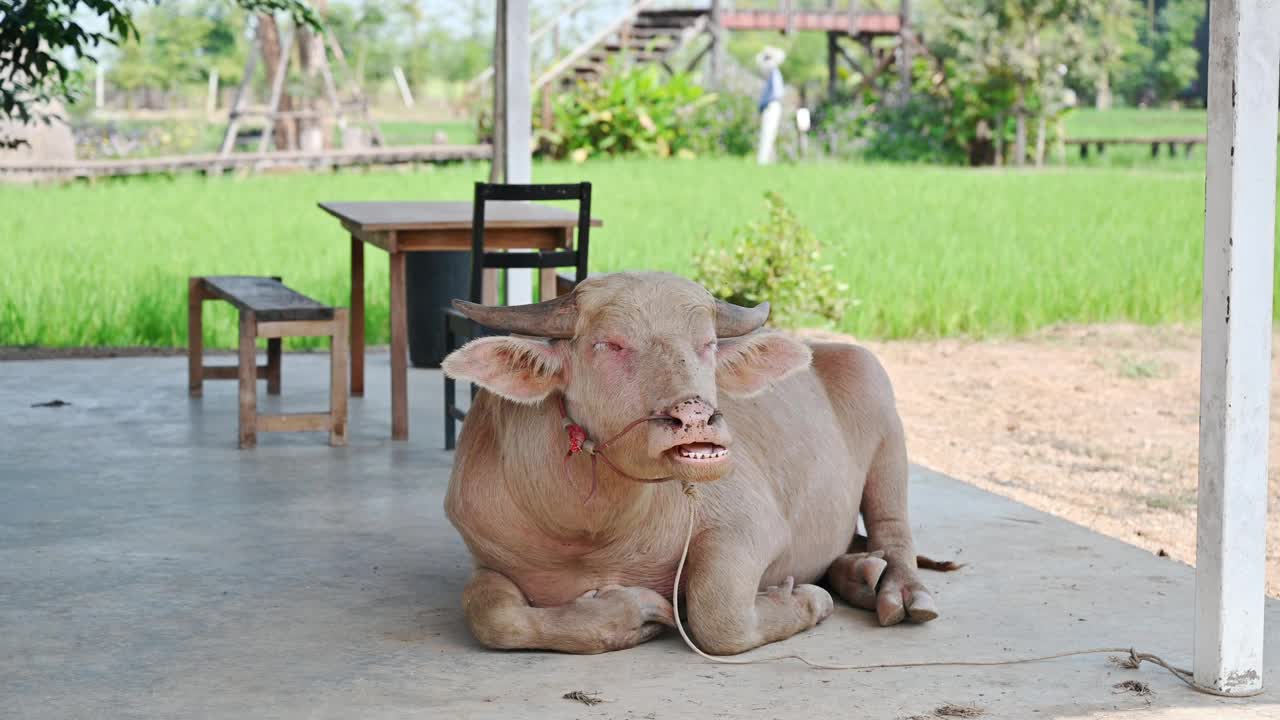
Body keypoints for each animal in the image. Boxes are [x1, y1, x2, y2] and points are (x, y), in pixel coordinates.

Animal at [445, 271, 947, 653]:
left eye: (707, 344)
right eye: (609, 344)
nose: (696, 417)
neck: (592, 532)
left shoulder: (753, 524)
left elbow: (717, 611)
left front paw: (808, 601)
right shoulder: (486, 555)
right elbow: (491, 615)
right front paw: (630, 616)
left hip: (884, 417)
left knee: (893, 529)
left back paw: (897, 589)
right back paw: (860, 574)